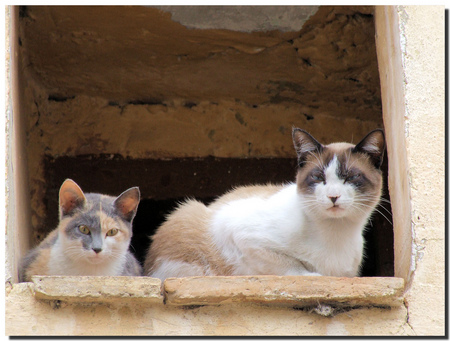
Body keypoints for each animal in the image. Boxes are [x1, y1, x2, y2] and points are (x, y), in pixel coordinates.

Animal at [146, 127, 384, 278]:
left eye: (351, 177)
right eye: (318, 177)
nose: (333, 196)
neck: (336, 233)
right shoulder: (243, 236)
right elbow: (292, 266)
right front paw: (314, 275)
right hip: (190, 213)